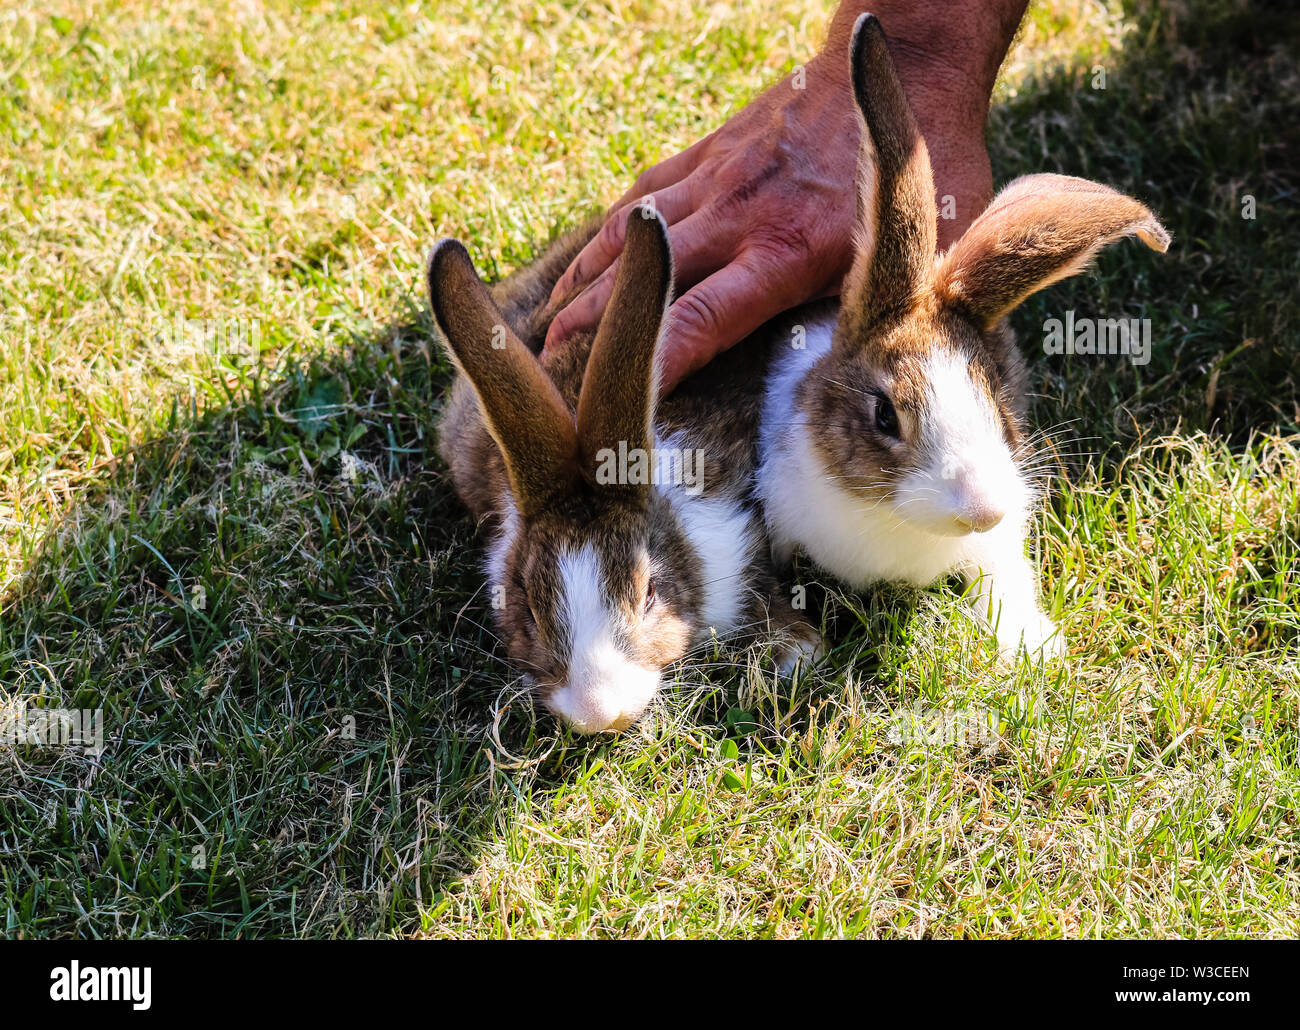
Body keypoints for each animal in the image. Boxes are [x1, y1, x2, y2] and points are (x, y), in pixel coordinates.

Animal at [755, 14, 1171, 660]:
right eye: (884, 415)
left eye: (999, 400)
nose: (981, 510)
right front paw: (796, 652)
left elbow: (1005, 572)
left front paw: (1032, 648)